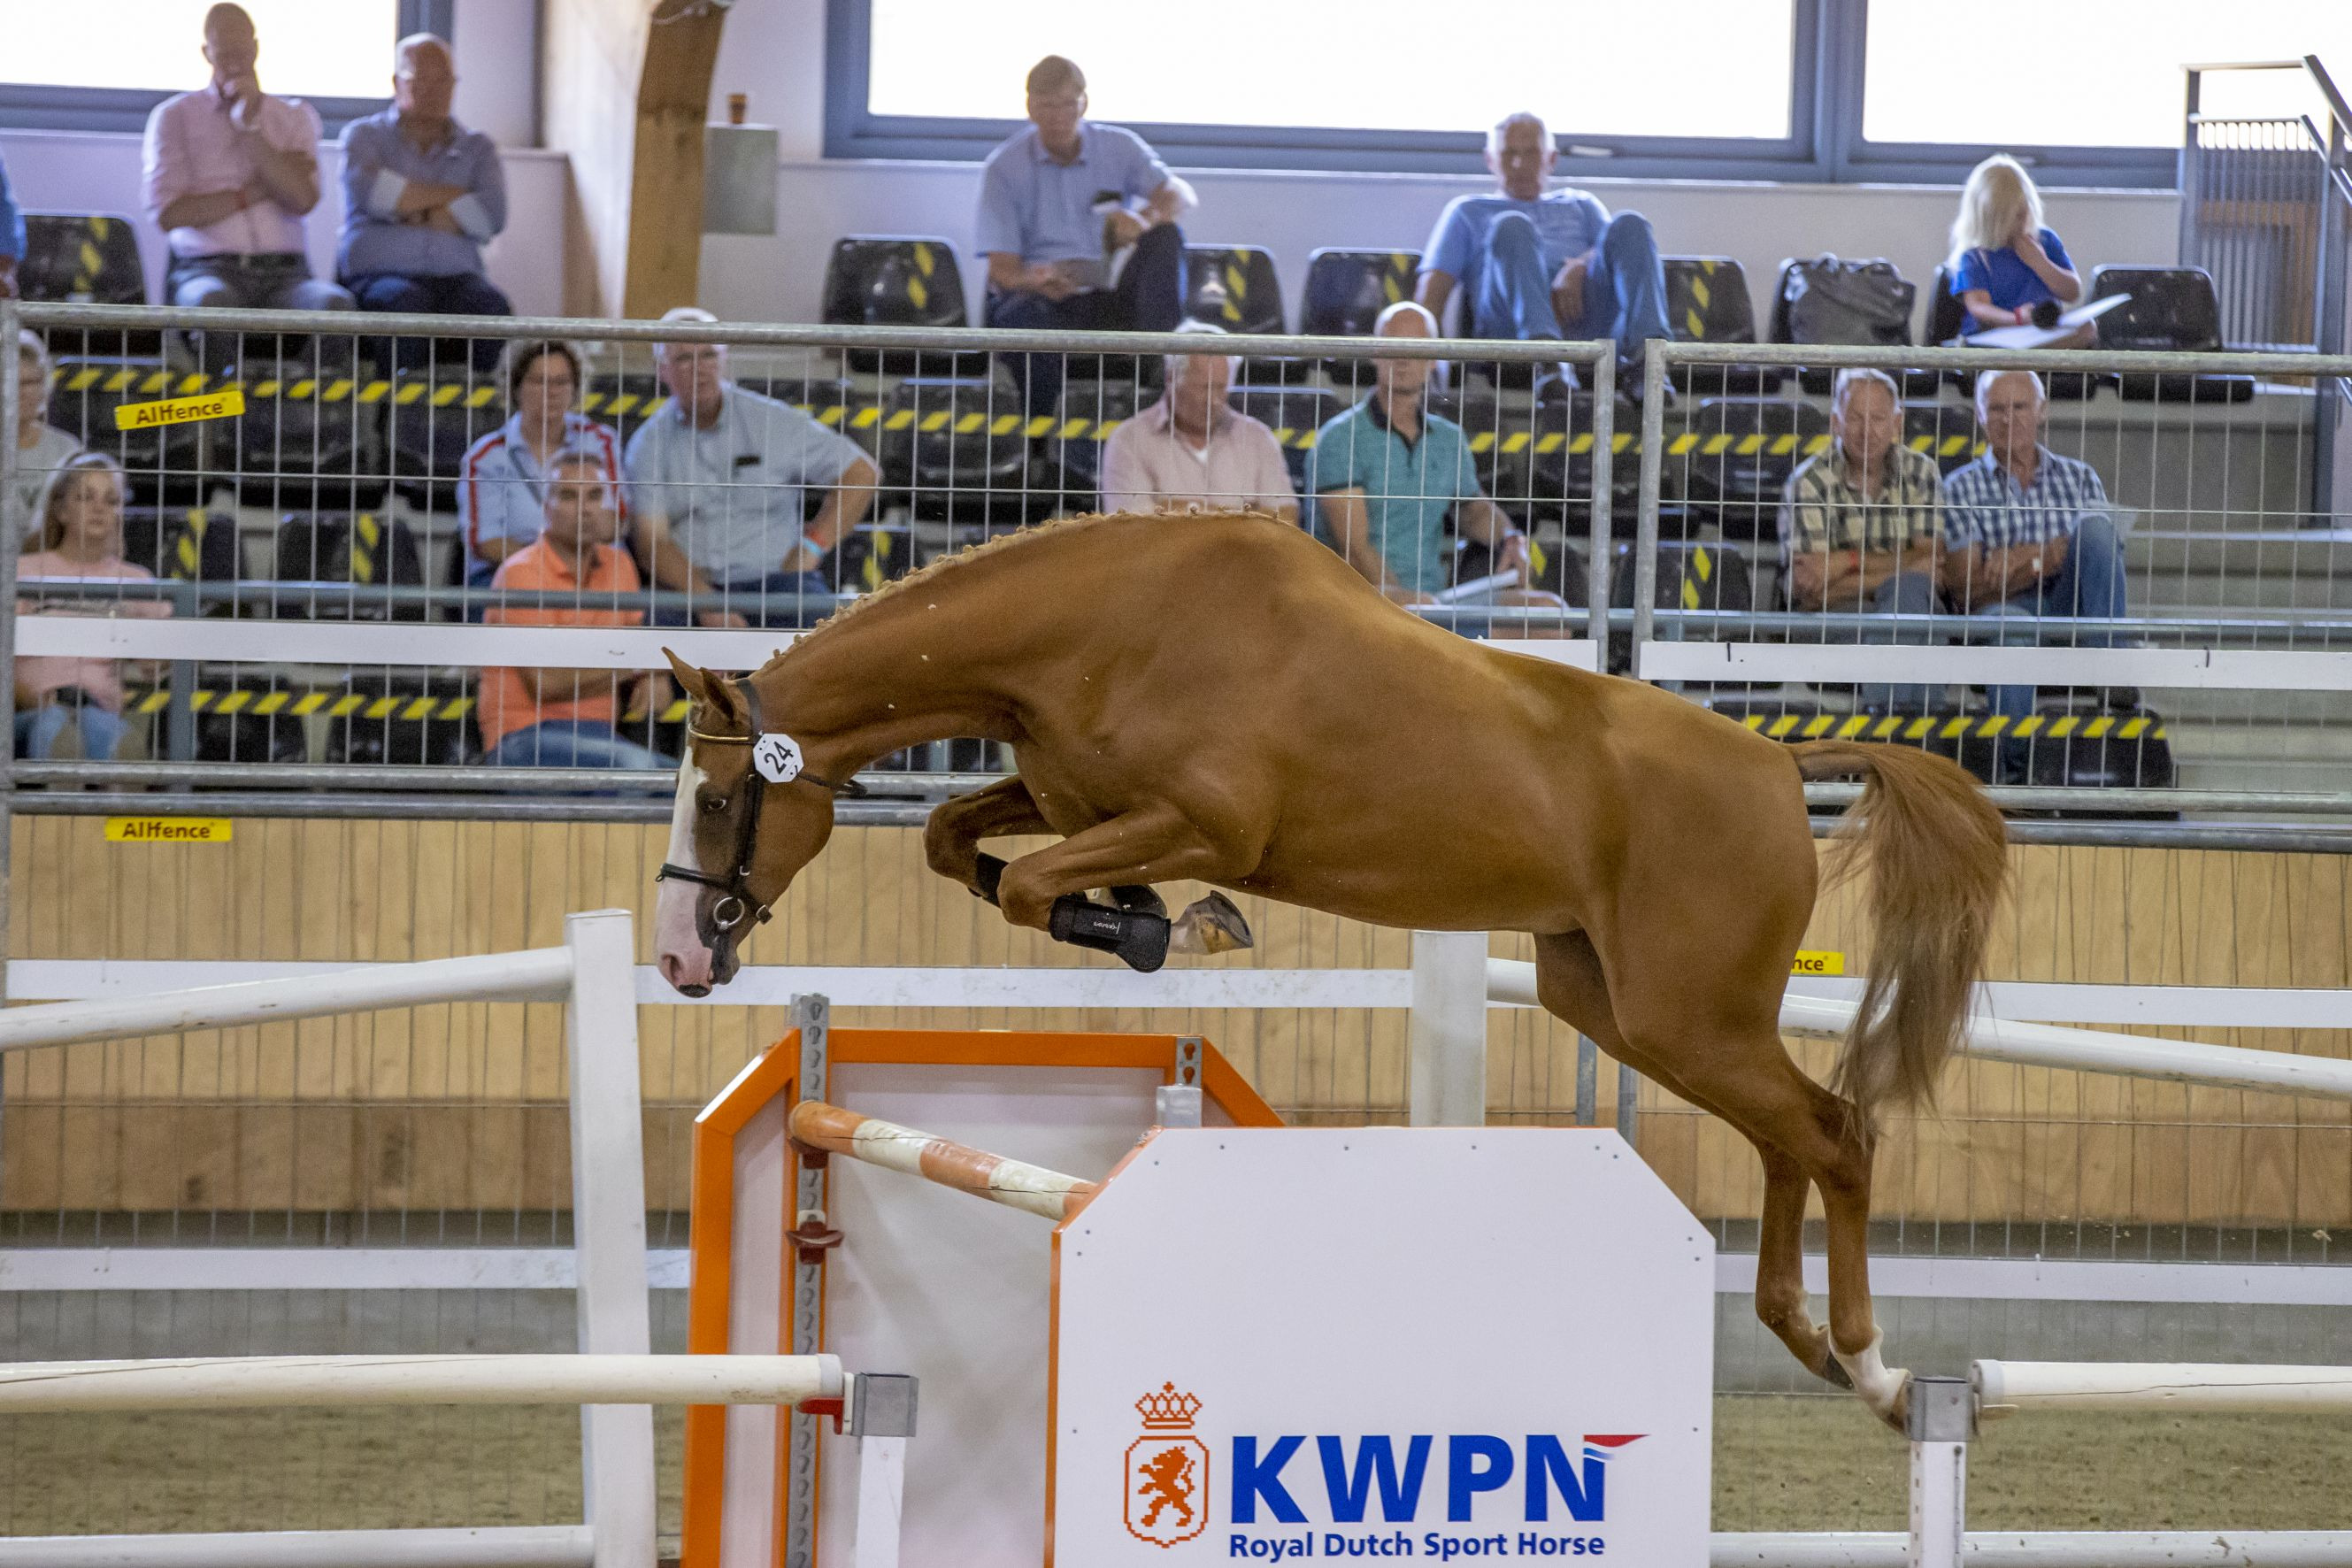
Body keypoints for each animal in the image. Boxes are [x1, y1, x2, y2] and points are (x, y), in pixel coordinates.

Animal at [652, 509, 2008, 1427]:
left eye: (718, 800)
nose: (677, 953)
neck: (1100, 630)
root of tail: (1779, 764)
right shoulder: (1071, 798)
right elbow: (959, 843)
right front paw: (1137, 912)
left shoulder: (1202, 824)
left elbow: (1042, 888)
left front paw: (1167, 924)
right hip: (1623, 1007)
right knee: (1791, 1135)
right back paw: (1803, 1336)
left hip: (1688, 1017)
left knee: (1835, 1133)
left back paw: (1875, 1367)